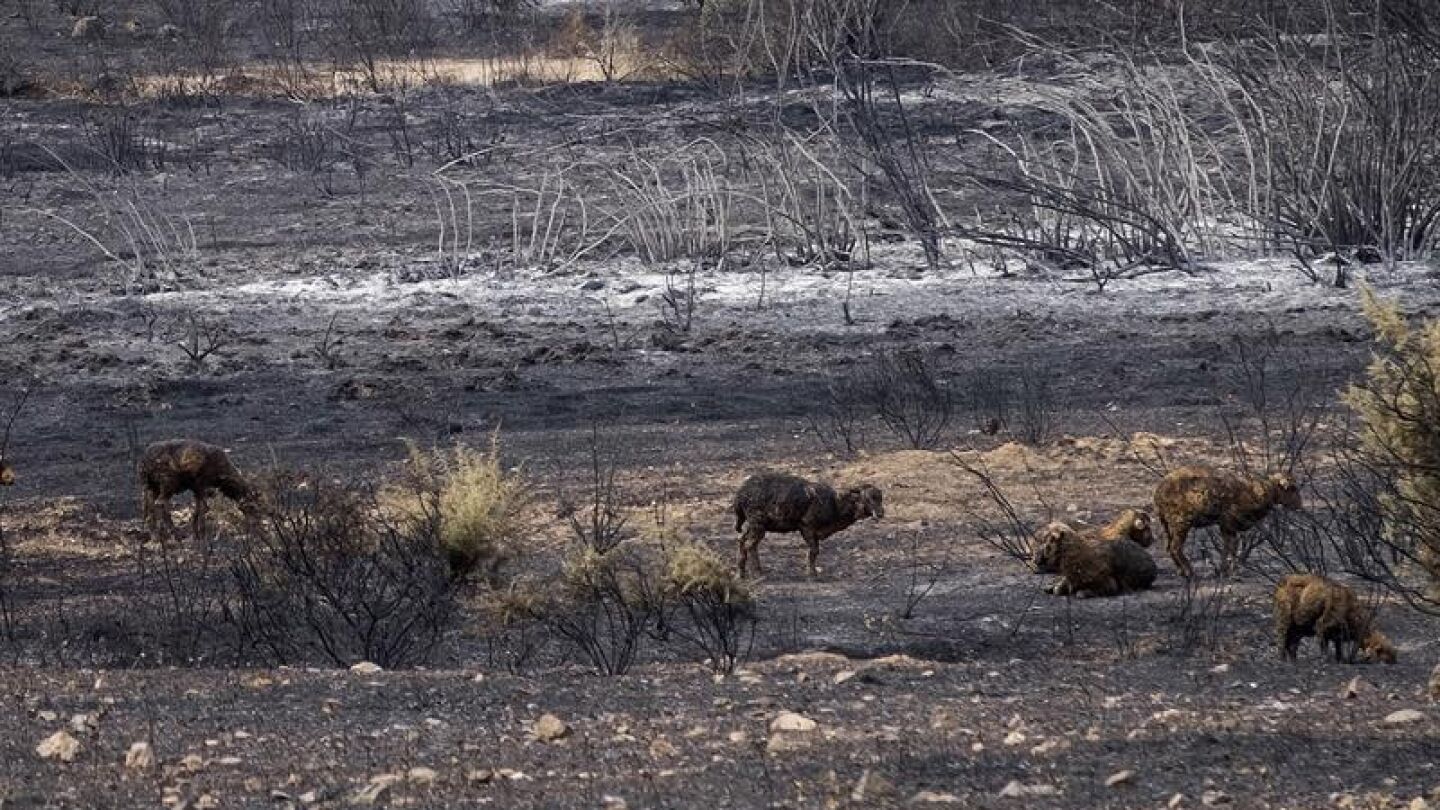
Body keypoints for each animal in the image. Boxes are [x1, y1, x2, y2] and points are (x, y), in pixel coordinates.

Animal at [732, 472, 883, 578]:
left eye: (880, 498)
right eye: (868, 498)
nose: (880, 513)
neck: (835, 504)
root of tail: (740, 494)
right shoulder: (807, 527)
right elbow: (814, 551)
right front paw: (812, 574)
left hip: (752, 525)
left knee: (742, 540)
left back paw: (742, 572)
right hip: (758, 524)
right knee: (750, 545)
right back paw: (756, 572)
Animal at [1153, 466, 1302, 578]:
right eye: (1292, 488)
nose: (1299, 505)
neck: (1257, 491)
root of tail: (1158, 491)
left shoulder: (1225, 526)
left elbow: (1226, 547)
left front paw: (1223, 570)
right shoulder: (1230, 522)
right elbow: (1233, 546)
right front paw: (1232, 571)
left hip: (1167, 524)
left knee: (1169, 547)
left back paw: (1181, 571)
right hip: (1180, 522)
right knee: (1175, 547)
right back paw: (1189, 572)